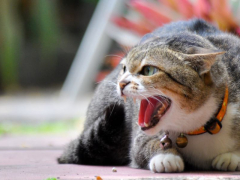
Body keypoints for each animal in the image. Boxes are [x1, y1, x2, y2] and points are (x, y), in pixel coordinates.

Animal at [57, 19, 240, 172]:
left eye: (149, 70)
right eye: (124, 68)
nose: (121, 83)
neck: (196, 127)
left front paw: (232, 157)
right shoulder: (139, 139)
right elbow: (144, 146)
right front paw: (166, 157)